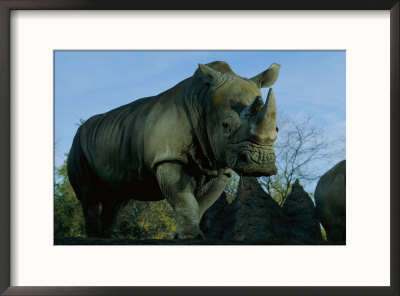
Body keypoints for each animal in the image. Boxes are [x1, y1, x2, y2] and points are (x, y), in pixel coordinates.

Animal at [67, 60, 280, 238]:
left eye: (277, 129)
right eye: (225, 126)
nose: (260, 164)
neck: (203, 102)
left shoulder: (218, 166)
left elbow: (202, 204)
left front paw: (194, 235)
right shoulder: (168, 157)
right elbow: (183, 198)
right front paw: (188, 236)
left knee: (115, 200)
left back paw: (107, 238)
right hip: (78, 145)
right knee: (89, 197)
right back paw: (94, 238)